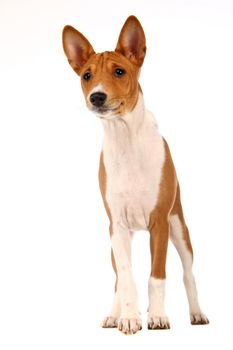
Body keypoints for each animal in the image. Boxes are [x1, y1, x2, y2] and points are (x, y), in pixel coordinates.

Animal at [62, 15, 209, 334]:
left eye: (119, 71)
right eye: (86, 76)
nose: (97, 96)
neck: (125, 139)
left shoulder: (159, 223)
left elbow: (157, 277)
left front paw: (158, 317)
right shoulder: (117, 226)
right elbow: (127, 278)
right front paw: (128, 317)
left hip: (179, 229)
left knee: (188, 274)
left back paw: (196, 313)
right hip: (116, 242)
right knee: (118, 279)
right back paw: (114, 314)